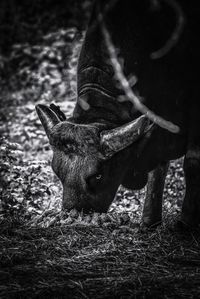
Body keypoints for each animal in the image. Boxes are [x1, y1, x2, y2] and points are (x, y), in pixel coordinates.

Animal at [36, 0, 200, 229]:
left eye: (97, 176)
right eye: (56, 171)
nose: (74, 214)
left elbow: (193, 162)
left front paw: (186, 223)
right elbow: (158, 168)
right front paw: (149, 221)